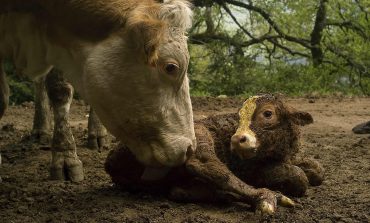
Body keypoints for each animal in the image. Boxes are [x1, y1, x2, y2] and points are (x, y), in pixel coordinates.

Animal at [0, 0, 197, 181]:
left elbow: (60, 89)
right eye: (171, 67)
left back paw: (96, 134)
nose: (190, 149)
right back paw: (41, 129)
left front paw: (65, 157)